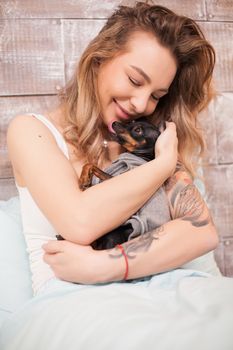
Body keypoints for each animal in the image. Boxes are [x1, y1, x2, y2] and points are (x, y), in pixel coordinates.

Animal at [57, 119, 161, 250]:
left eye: (138, 130)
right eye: (132, 121)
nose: (115, 122)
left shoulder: (114, 180)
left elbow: (91, 165)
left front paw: (84, 179)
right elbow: (89, 166)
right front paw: (85, 179)